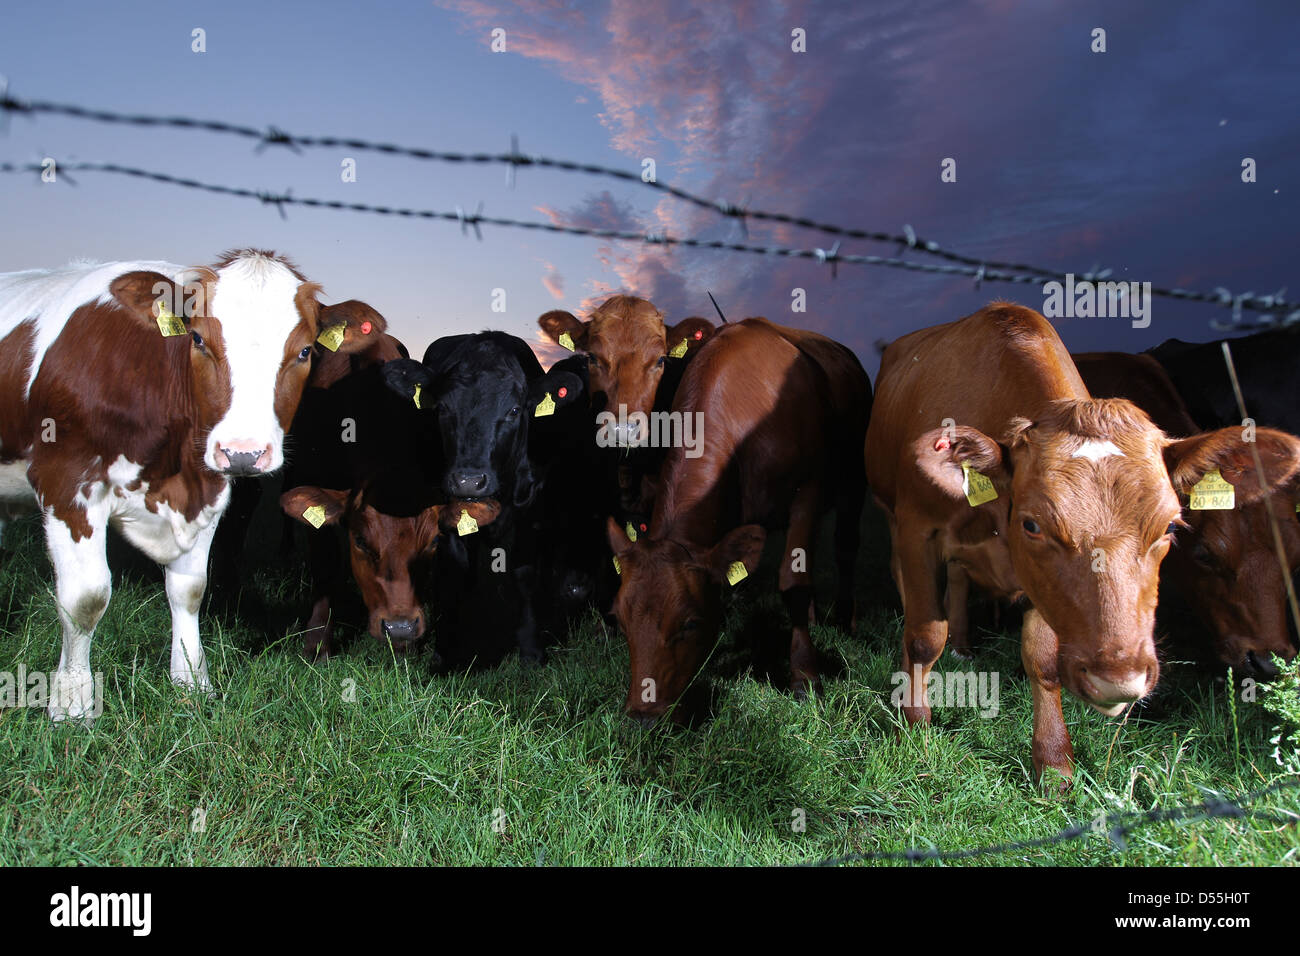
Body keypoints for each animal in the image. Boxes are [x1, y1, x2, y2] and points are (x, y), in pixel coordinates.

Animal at [2, 252, 379, 717]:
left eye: (305, 350)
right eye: (198, 340)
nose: (243, 453)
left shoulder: (208, 489)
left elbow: (190, 590)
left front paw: (191, 681)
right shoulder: (65, 483)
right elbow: (85, 599)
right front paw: (73, 705)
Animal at [379, 332, 585, 671]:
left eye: (514, 410)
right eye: (442, 408)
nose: (469, 480)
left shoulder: (530, 510)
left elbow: (524, 574)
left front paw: (531, 651)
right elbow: (455, 572)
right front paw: (446, 653)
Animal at [603, 316, 868, 723]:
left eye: (691, 622)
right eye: (619, 619)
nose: (642, 717)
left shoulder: (807, 491)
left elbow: (794, 581)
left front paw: (805, 677)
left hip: (855, 480)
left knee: (845, 547)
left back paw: (844, 618)